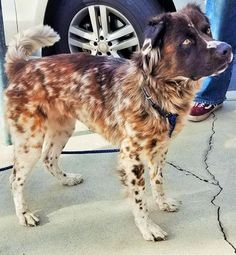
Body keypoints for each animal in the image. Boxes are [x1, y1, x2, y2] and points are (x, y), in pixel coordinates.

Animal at [5, 4, 232, 241]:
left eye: (207, 30)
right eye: (186, 41)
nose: (226, 48)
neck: (152, 90)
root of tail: (23, 65)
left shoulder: (160, 149)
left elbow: (158, 180)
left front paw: (162, 203)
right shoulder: (131, 157)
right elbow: (140, 200)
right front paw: (148, 227)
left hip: (63, 128)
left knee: (48, 158)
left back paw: (66, 179)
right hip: (30, 141)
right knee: (15, 179)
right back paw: (24, 214)